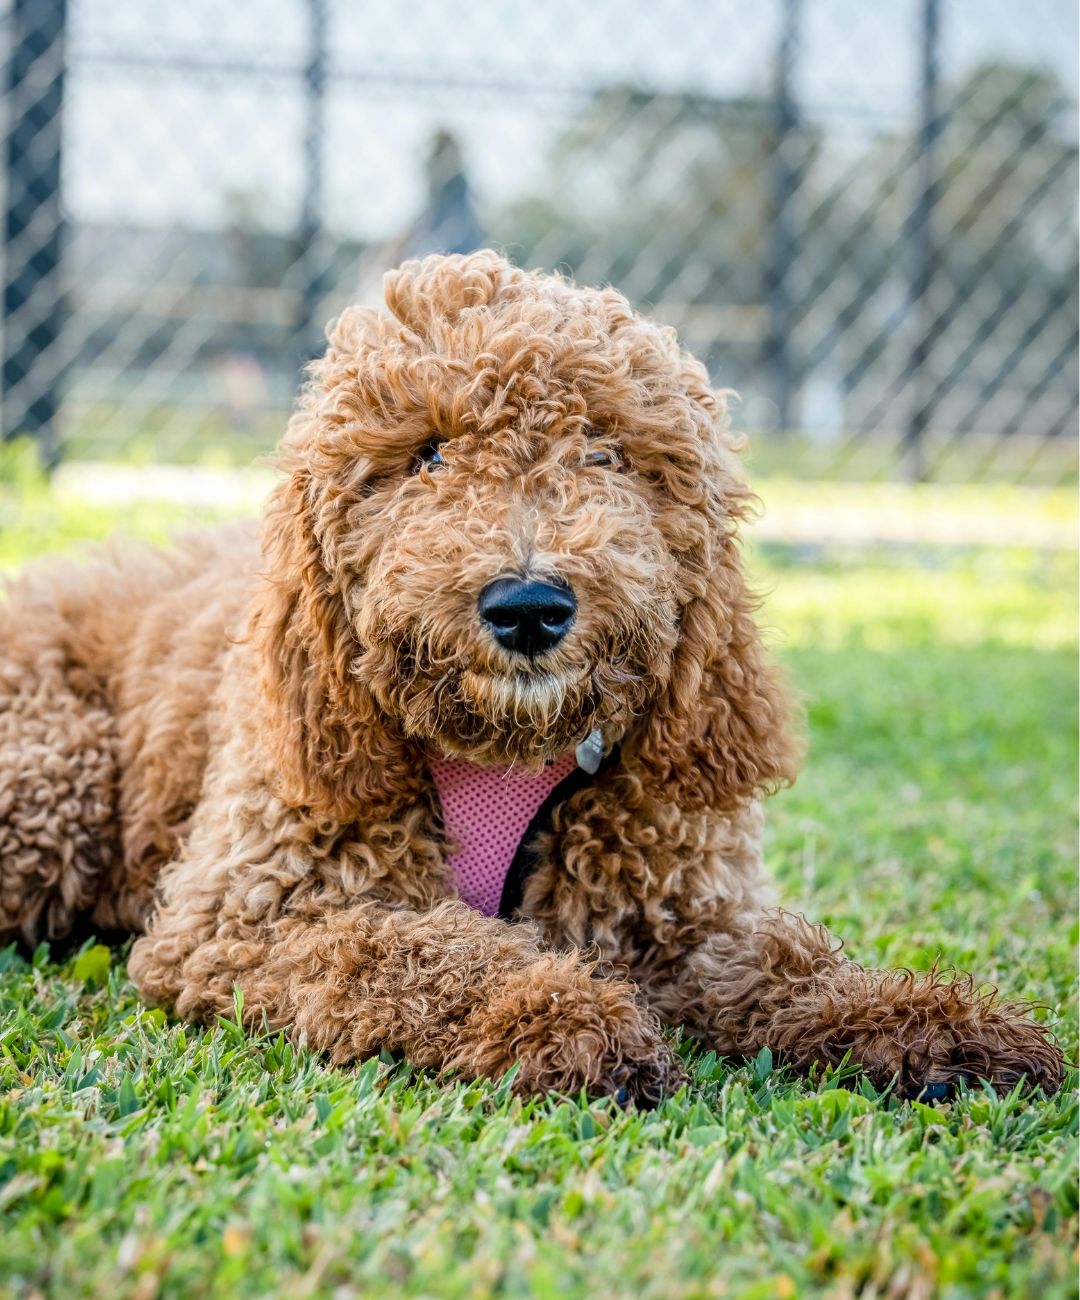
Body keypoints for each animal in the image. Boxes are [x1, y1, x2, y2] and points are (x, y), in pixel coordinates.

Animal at [0, 253, 1065, 1107]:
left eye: (606, 452)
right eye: (427, 454)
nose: (527, 606)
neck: (503, 750)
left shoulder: (677, 912)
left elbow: (786, 966)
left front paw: (928, 1023)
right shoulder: (244, 918)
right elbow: (414, 951)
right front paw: (560, 1015)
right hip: (51, 787)